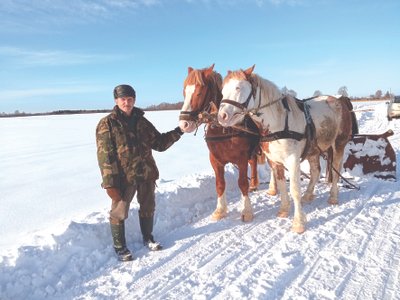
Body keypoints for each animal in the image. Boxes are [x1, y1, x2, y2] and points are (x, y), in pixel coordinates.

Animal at [178, 64, 266, 221]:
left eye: (200, 92)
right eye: (184, 92)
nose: (184, 124)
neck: (223, 128)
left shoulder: (241, 159)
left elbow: (242, 183)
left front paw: (246, 210)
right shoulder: (215, 160)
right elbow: (220, 184)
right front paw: (220, 210)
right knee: (254, 162)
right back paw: (254, 184)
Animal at [217, 65, 358, 233]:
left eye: (238, 87)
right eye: (223, 90)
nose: (222, 116)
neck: (277, 123)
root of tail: (339, 100)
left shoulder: (292, 160)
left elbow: (294, 190)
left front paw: (298, 223)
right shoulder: (275, 161)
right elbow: (282, 185)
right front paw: (284, 209)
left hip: (339, 144)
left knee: (336, 170)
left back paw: (333, 196)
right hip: (313, 150)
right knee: (316, 172)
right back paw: (308, 195)